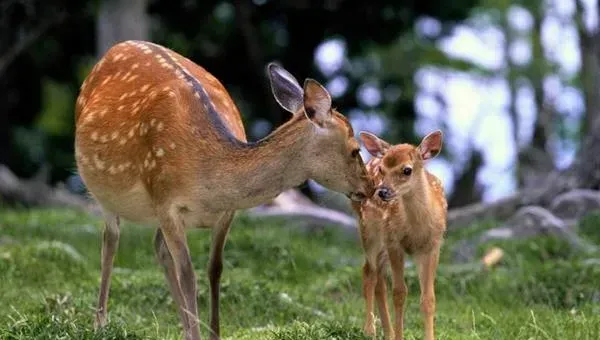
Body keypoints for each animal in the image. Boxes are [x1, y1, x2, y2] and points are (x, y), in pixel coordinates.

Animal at [74, 40, 372, 340]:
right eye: (354, 149)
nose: (370, 187)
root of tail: (116, 48)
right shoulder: (165, 200)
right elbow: (188, 274)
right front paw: (196, 334)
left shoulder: (226, 212)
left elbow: (214, 269)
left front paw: (212, 333)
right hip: (105, 193)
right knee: (110, 241)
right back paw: (100, 323)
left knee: (158, 247)